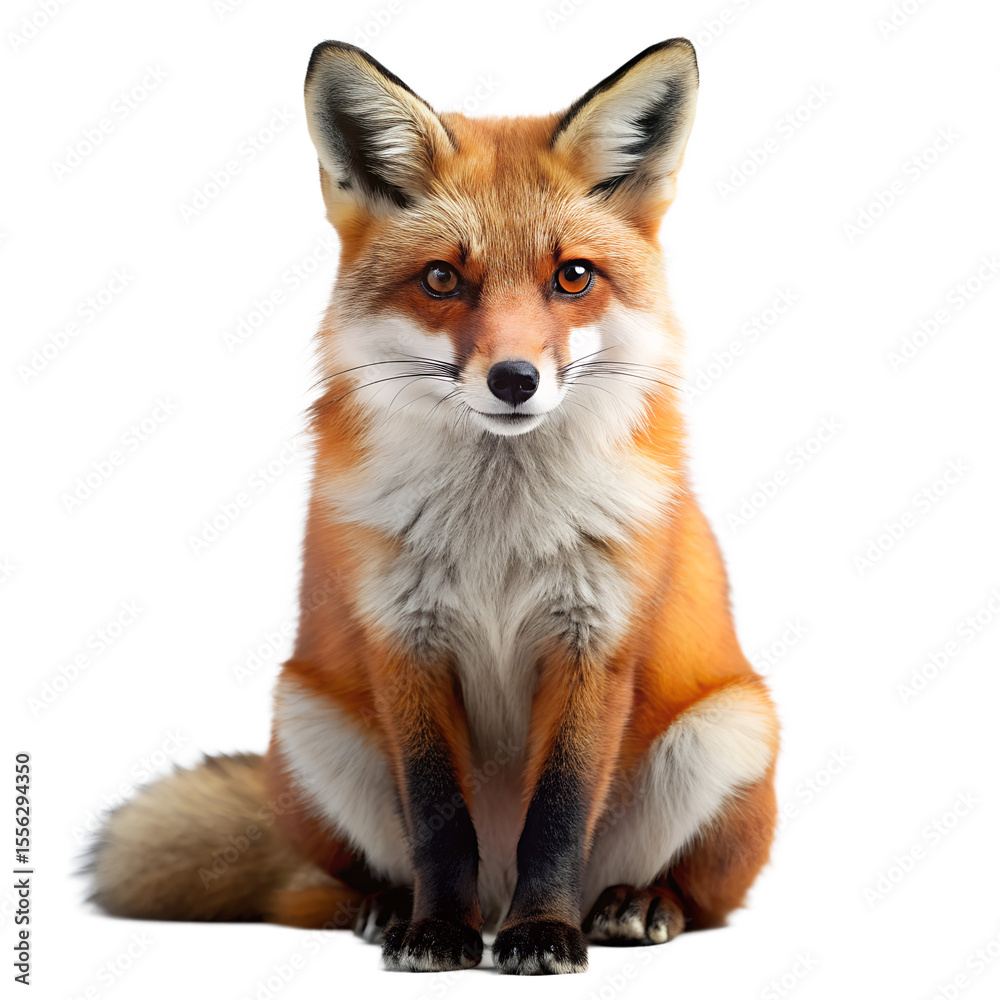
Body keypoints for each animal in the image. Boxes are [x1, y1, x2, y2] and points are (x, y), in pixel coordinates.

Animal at [87, 38, 780, 975]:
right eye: (444, 278)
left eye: (573, 277)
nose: (515, 380)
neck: (498, 537)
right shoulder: (403, 643)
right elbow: (439, 819)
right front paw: (438, 935)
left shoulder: (594, 642)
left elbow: (557, 817)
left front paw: (542, 934)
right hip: (307, 719)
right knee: (315, 889)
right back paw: (389, 909)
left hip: (727, 727)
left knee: (704, 899)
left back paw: (634, 903)